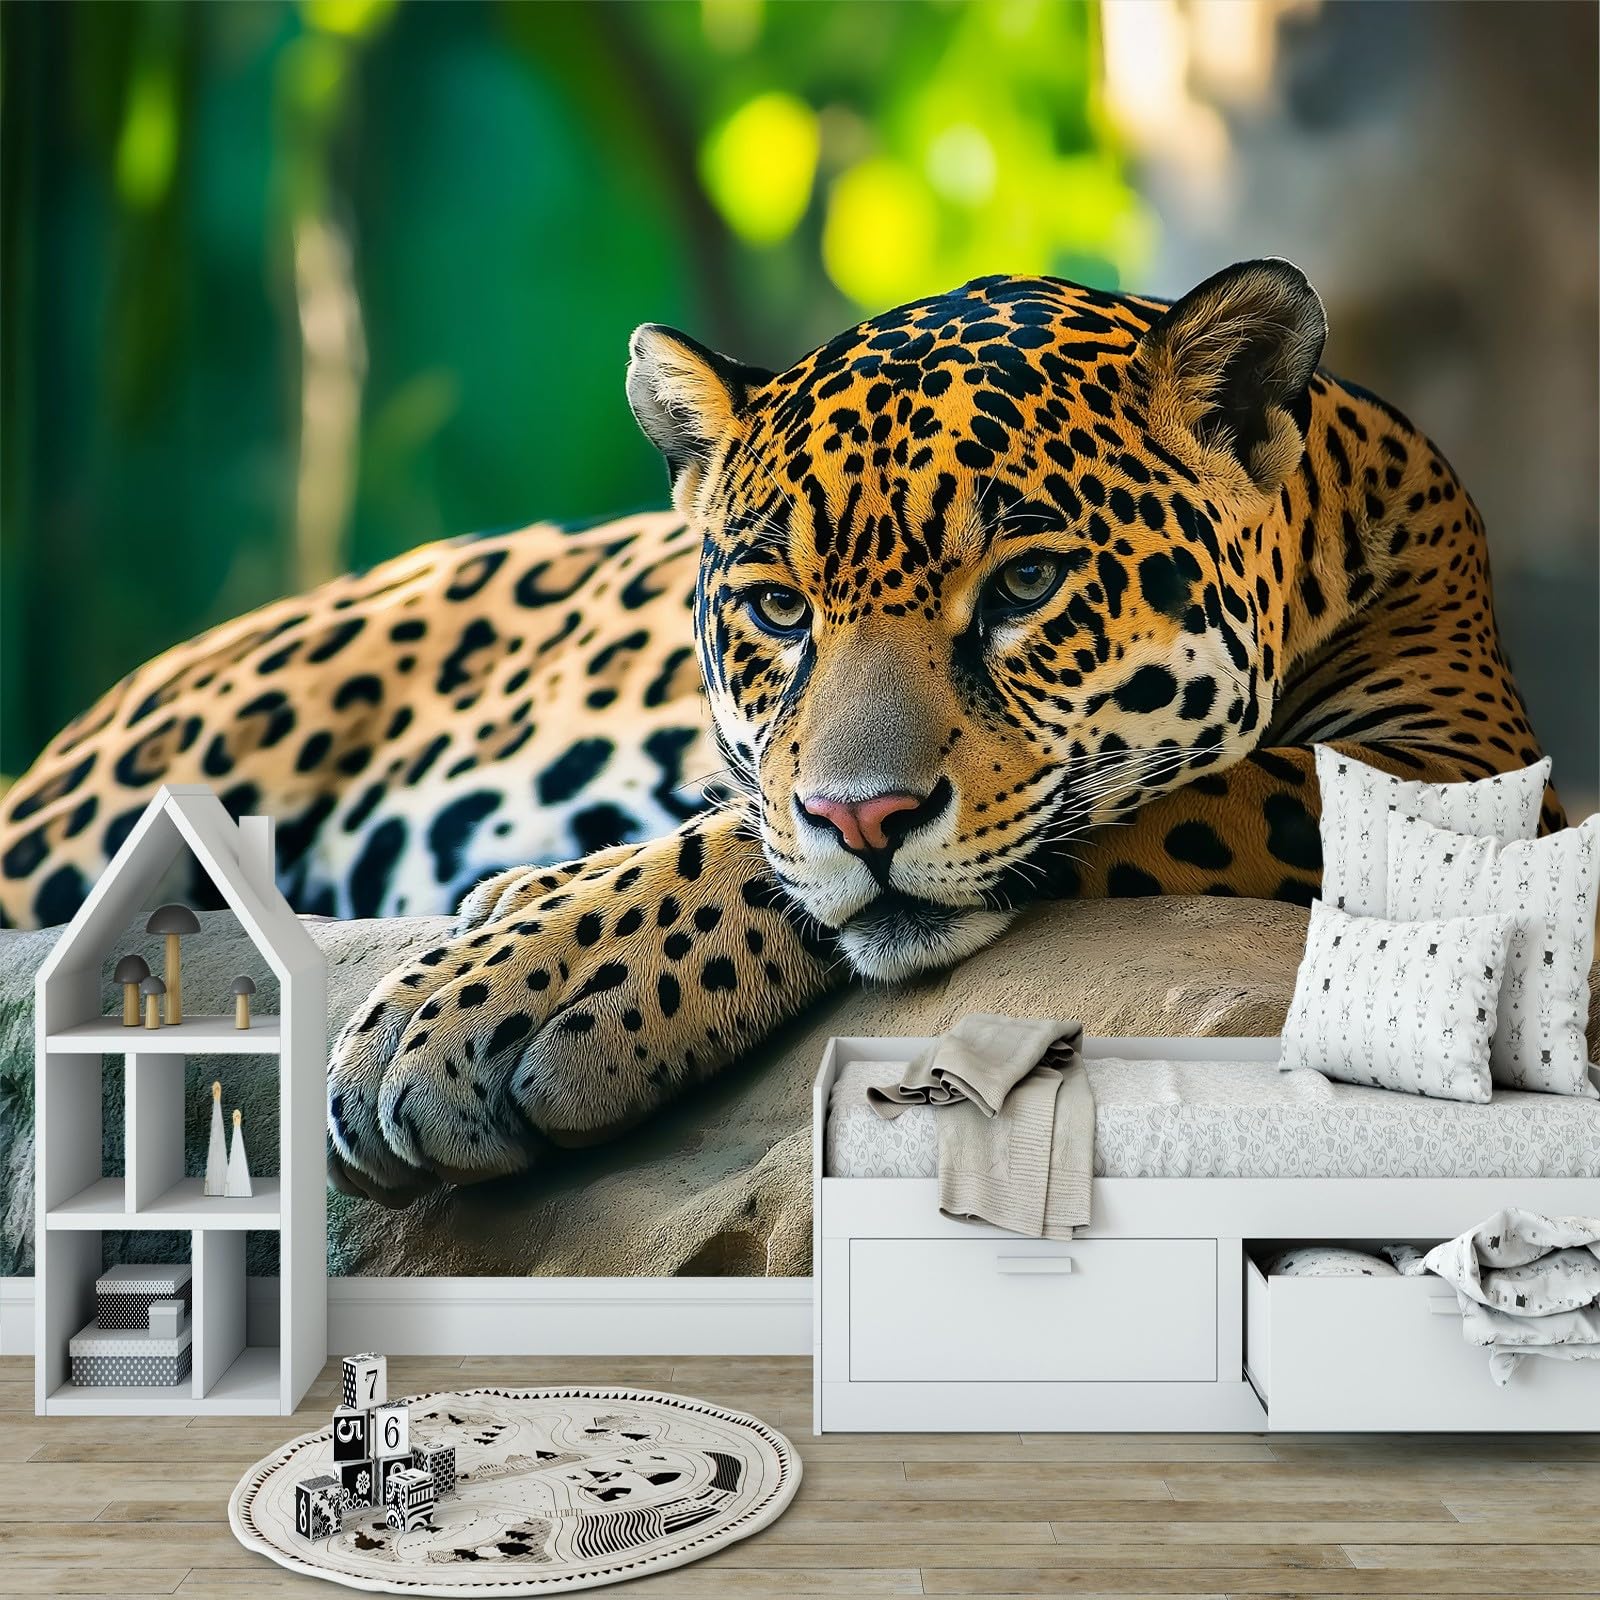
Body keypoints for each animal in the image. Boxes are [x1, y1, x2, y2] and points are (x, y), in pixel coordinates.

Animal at [1, 259, 1558, 1205]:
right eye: (775, 607)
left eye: (1026, 586)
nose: (868, 816)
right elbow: (764, 823)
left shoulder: (1454, 776)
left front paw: (494, 988)